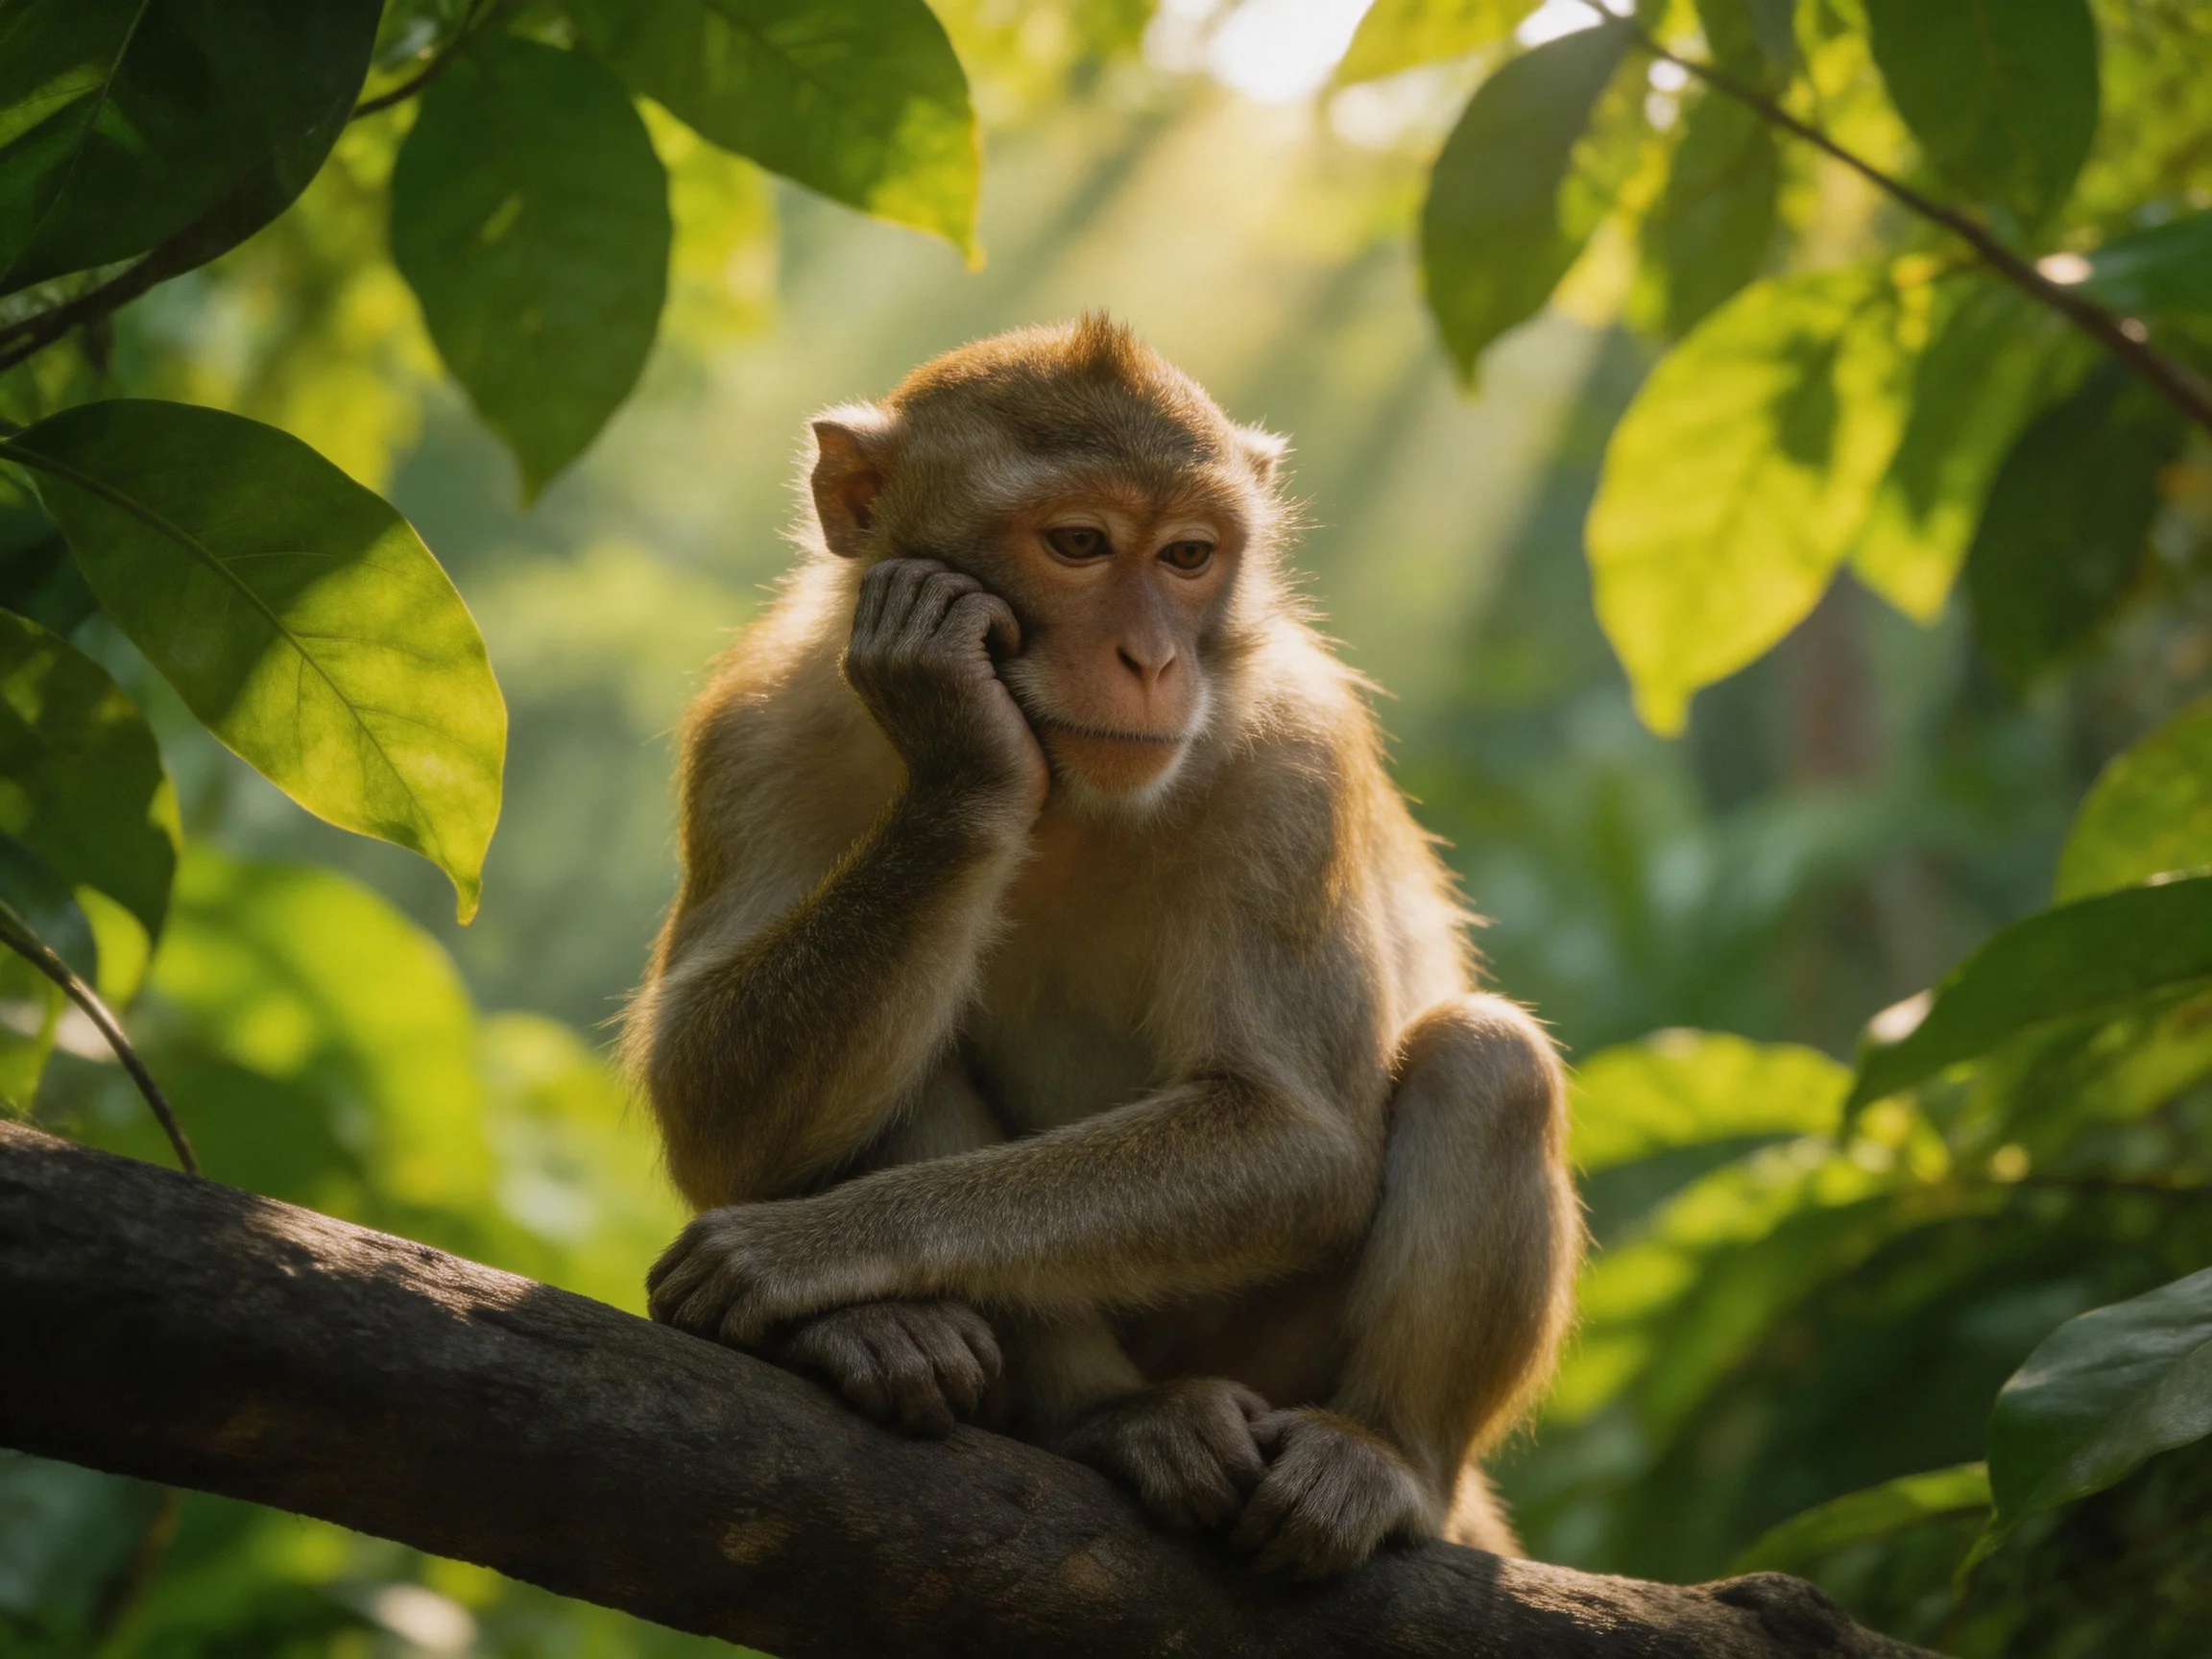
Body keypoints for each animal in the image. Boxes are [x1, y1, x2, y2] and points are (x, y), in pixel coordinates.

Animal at [627, 315, 1580, 1578]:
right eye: (1079, 543)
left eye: (1188, 556)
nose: (1151, 661)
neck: (1073, 798)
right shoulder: (759, 728)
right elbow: (708, 1107)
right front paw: (967, 762)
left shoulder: (1294, 765)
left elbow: (1300, 1135)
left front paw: (815, 1248)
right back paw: (1056, 1396)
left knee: (1485, 1060)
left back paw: (1384, 1455)